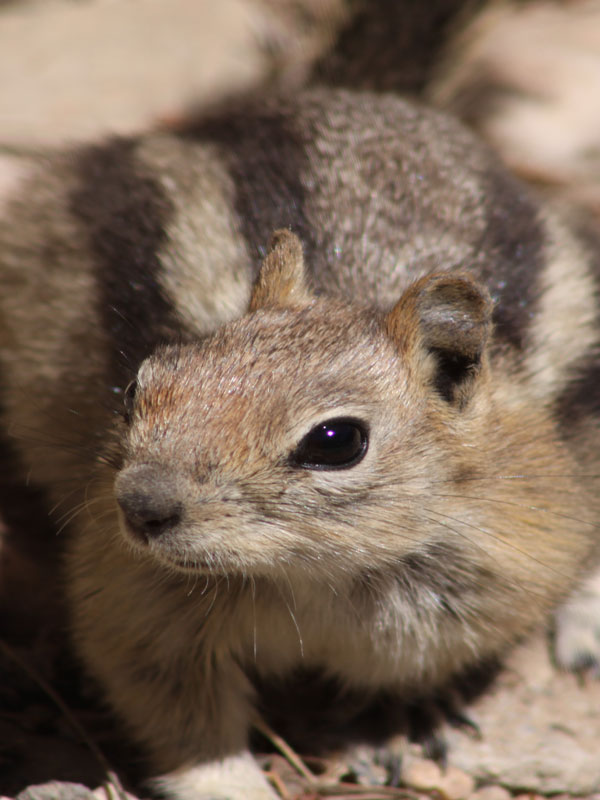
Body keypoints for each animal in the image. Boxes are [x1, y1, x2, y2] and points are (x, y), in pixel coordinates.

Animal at [1, 63, 600, 800]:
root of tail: (365, 93)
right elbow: (183, 721)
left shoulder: (486, 582)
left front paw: (396, 719)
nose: (139, 506)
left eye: (335, 442)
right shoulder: (135, 602)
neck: (313, 573)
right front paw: (235, 784)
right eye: (140, 384)